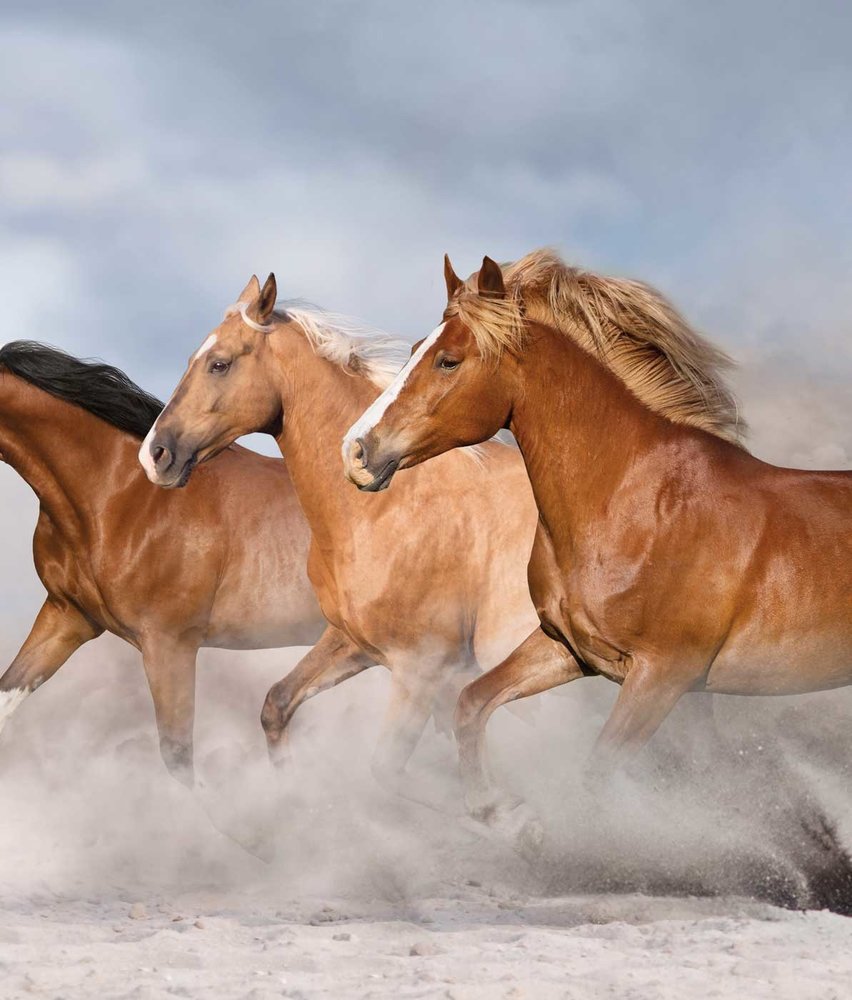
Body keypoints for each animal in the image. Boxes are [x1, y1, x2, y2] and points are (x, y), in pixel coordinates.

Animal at [342, 249, 851, 828]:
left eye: (448, 361)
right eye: (413, 351)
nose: (356, 451)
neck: (639, 506)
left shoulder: (662, 677)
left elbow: (595, 779)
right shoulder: (570, 649)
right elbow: (472, 703)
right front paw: (500, 812)